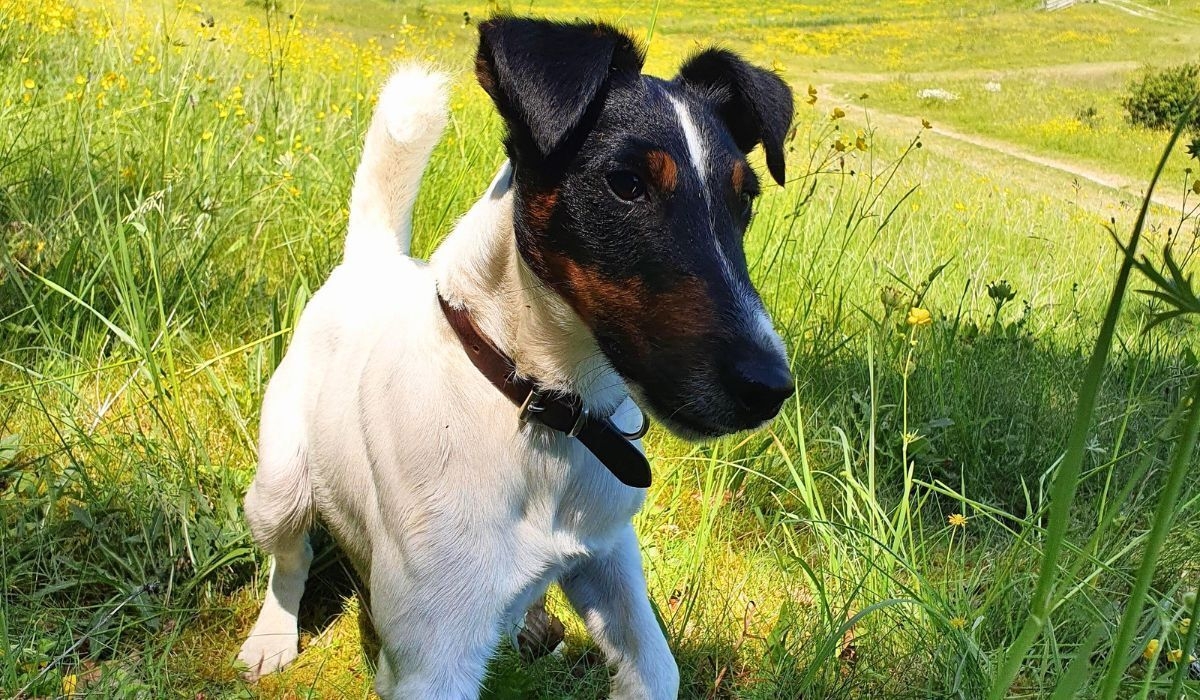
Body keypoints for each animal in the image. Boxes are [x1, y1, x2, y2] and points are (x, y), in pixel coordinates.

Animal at [235, 17, 796, 700]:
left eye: (745, 200)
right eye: (625, 183)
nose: (770, 387)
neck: (539, 401)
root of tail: (371, 259)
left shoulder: (609, 553)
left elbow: (657, 666)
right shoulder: (432, 663)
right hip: (279, 487)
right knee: (290, 559)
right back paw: (271, 636)